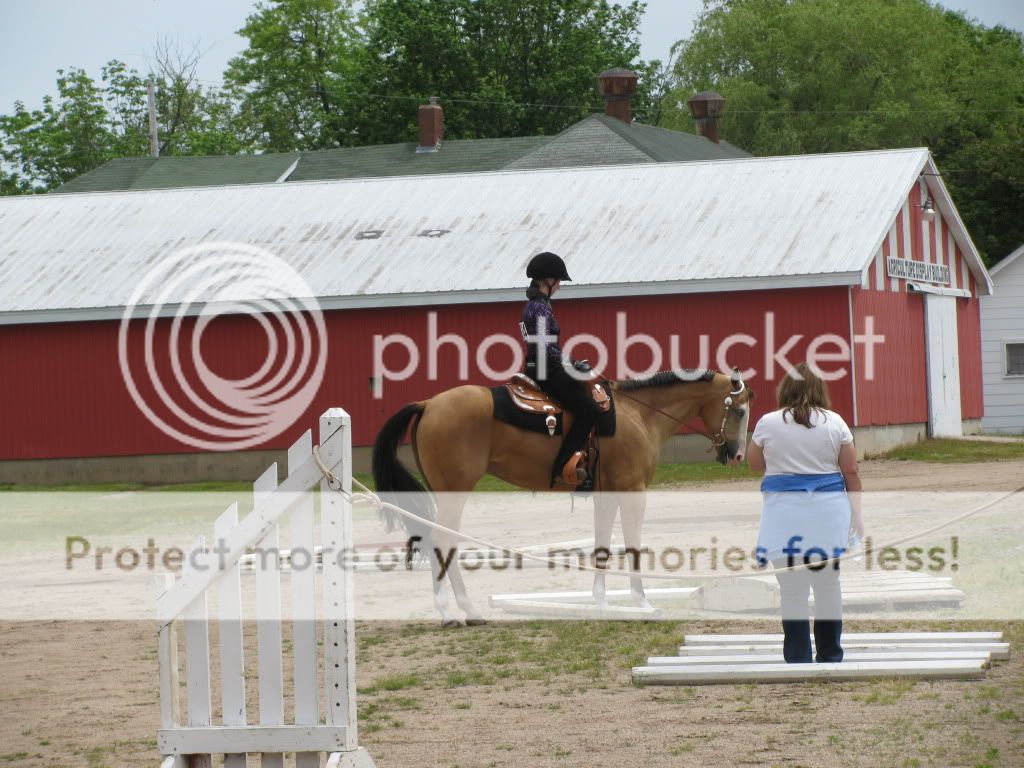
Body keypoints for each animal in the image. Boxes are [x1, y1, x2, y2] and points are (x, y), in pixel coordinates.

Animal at [370, 370, 753, 626]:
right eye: (738, 411)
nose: (737, 455)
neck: (639, 415)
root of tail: (428, 404)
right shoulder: (633, 492)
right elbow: (631, 546)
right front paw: (642, 602)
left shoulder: (605, 496)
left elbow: (602, 547)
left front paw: (601, 603)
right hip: (454, 492)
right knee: (442, 541)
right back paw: (457, 610)